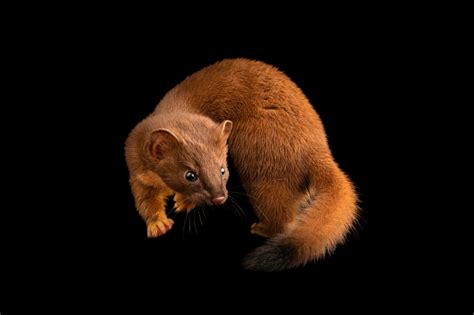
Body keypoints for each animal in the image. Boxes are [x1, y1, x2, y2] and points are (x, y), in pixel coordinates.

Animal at [124, 58, 358, 272]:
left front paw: (183, 203)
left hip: (258, 164)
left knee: (281, 216)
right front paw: (158, 224)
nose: (219, 198)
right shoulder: (137, 170)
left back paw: (261, 227)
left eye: (222, 169)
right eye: (190, 175)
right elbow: (144, 199)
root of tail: (316, 147)